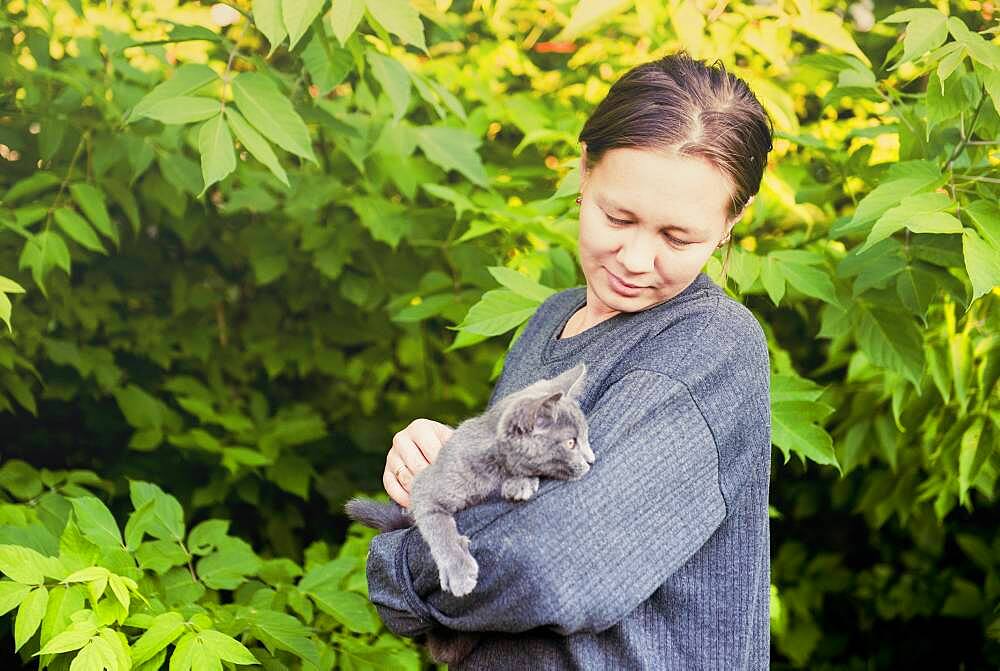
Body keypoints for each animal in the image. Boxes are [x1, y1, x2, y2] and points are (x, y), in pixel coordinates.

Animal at [344, 362, 592, 660]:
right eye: (571, 443)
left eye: (587, 437)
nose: (592, 460)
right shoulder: (425, 489)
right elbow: (440, 529)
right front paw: (459, 570)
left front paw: (520, 482)